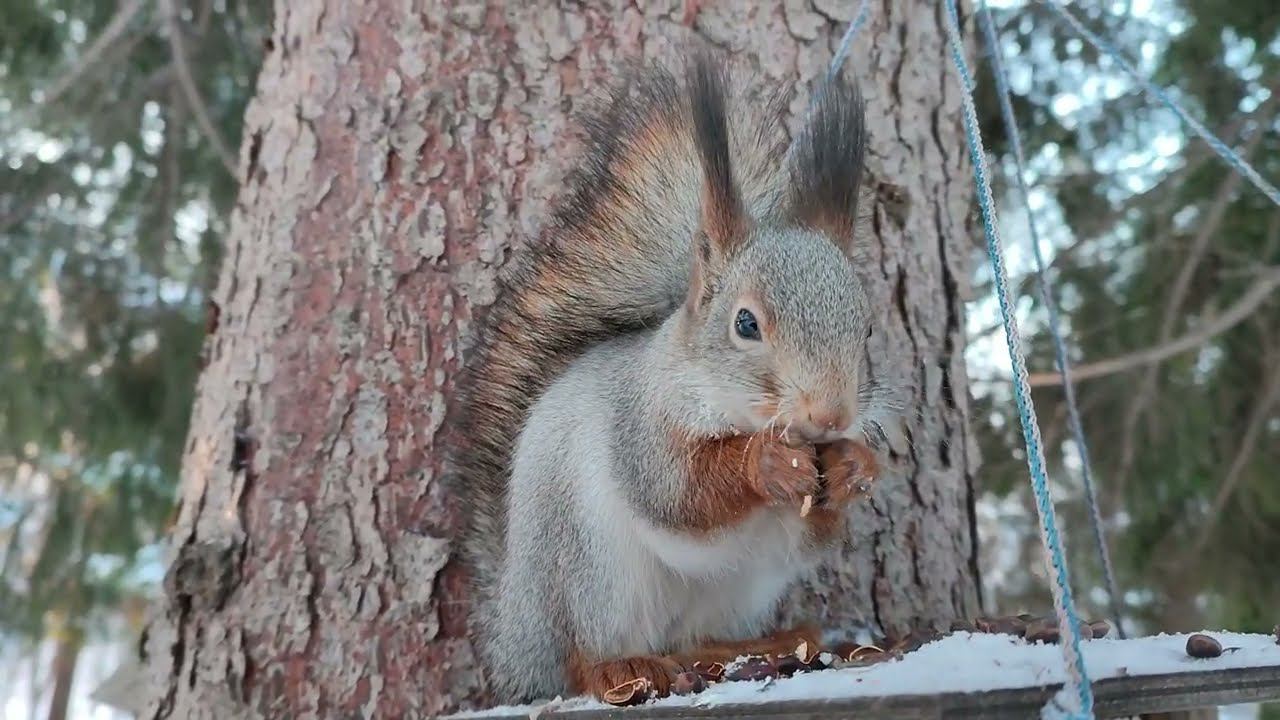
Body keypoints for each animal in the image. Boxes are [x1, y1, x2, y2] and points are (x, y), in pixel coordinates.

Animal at [449, 50, 891, 704]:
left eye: (866, 329)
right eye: (745, 323)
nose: (830, 415)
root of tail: (515, 635)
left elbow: (814, 537)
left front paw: (853, 464)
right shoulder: (640, 421)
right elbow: (677, 491)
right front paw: (765, 462)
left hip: (738, 590)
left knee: (696, 640)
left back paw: (762, 646)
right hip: (590, 567)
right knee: (580, 658)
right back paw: (621, 669)